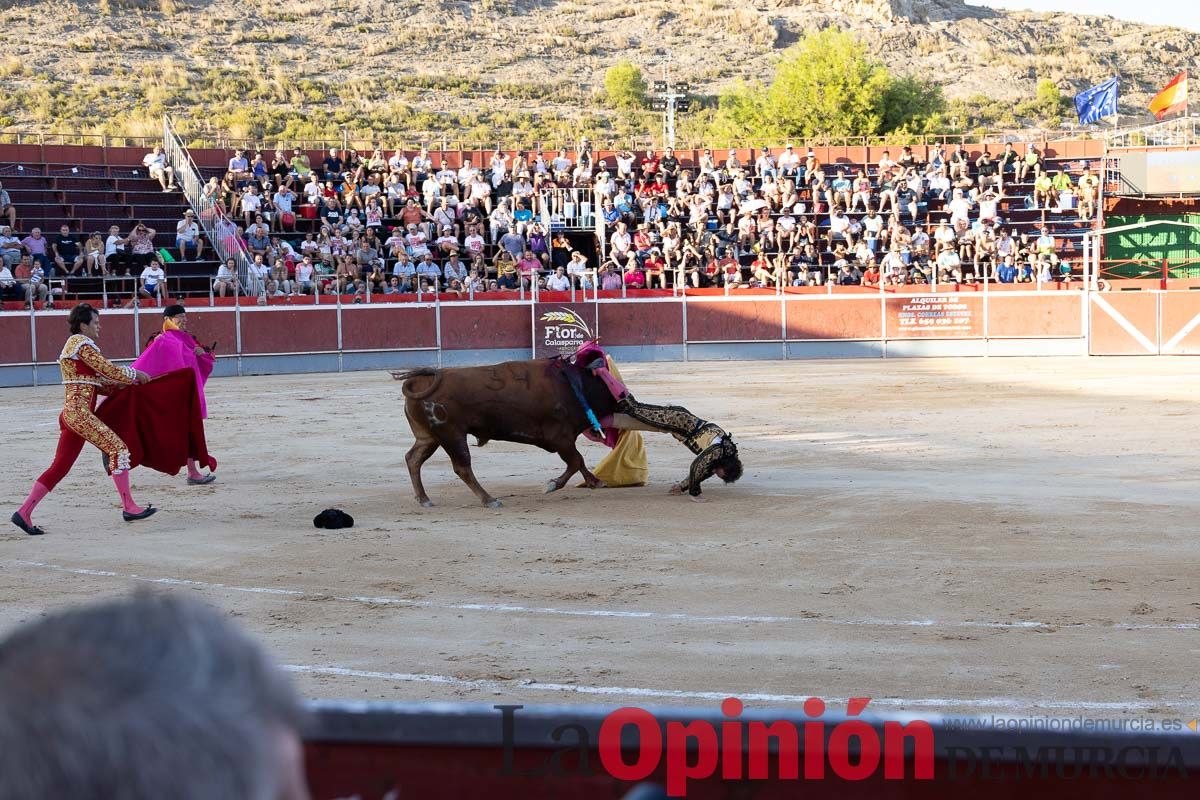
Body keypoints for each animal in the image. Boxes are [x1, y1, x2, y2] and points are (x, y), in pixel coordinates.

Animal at [393, 362, 619, 510]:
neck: (574, 386)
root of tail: (421, 381)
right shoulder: (559, 437)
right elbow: (575, 460)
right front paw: (551, 485)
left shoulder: (565, 439)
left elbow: (578, 461)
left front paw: (596, 482)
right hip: (452, 434)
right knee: (462, 467)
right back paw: (489, 500)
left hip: (429, 437)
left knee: (413, 459)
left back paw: (424, 499)